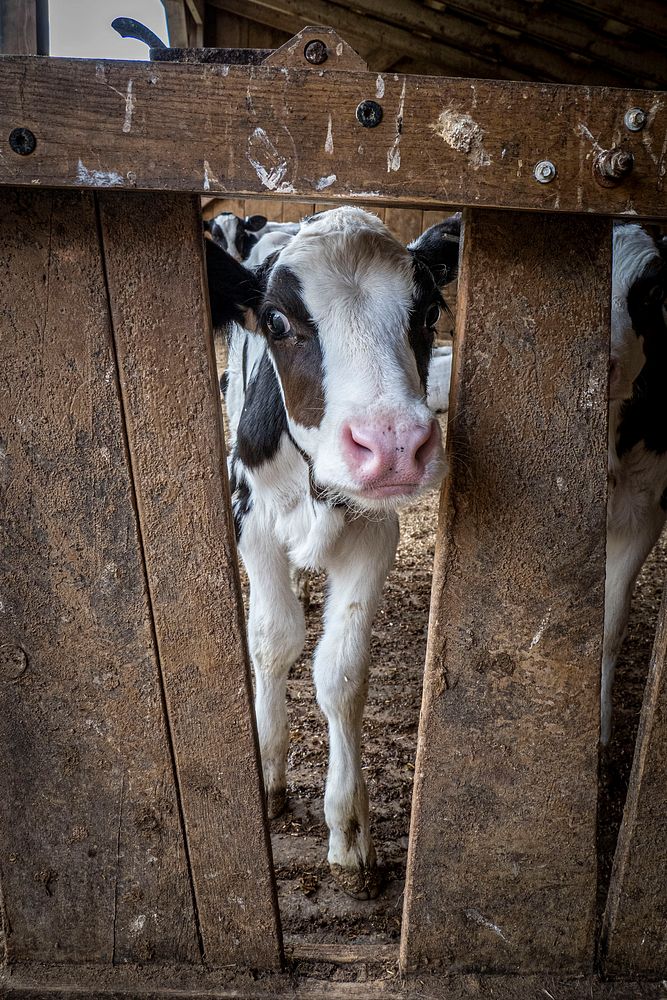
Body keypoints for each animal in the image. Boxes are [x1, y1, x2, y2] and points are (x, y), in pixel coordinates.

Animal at [209, 207, 460, 896]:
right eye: (276, 320)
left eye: (429, 309)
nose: (393, 444)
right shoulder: (250, 521)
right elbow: (271, 639)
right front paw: (269, 769)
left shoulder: (375, 535)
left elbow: (341, 673)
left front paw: (349, 832)